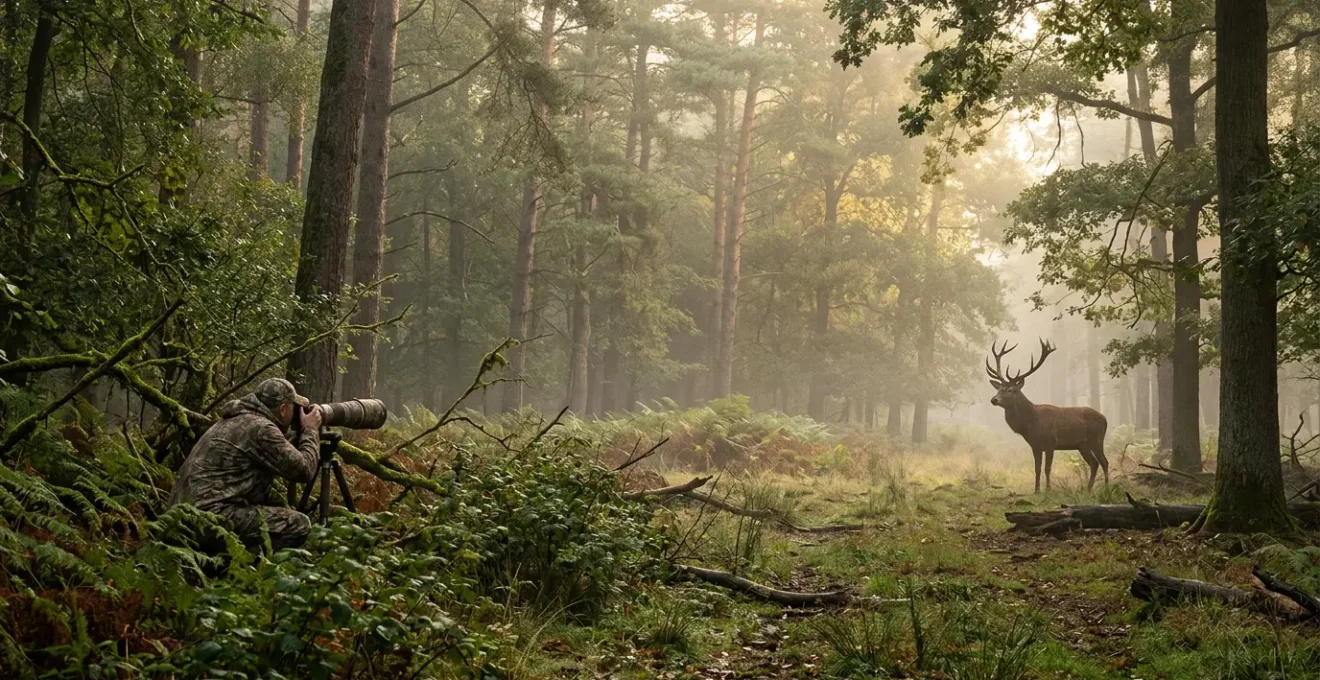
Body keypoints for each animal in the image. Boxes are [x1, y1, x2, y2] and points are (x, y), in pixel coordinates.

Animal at [986, 339, 1109, 493]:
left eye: (1010, 389)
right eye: (999, 389)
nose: (994, 399)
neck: (1030, 423)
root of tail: (1105, 419)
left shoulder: (1051, 442)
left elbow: (1047, 468)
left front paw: (1048, 490)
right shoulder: (1035, 446)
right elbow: (1037, 469)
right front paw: (1036, 491)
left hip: (1096, 439)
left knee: (1104, 461)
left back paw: (1107, 488)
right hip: (1083, 445)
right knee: (1094, 463)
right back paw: (1088, 489)